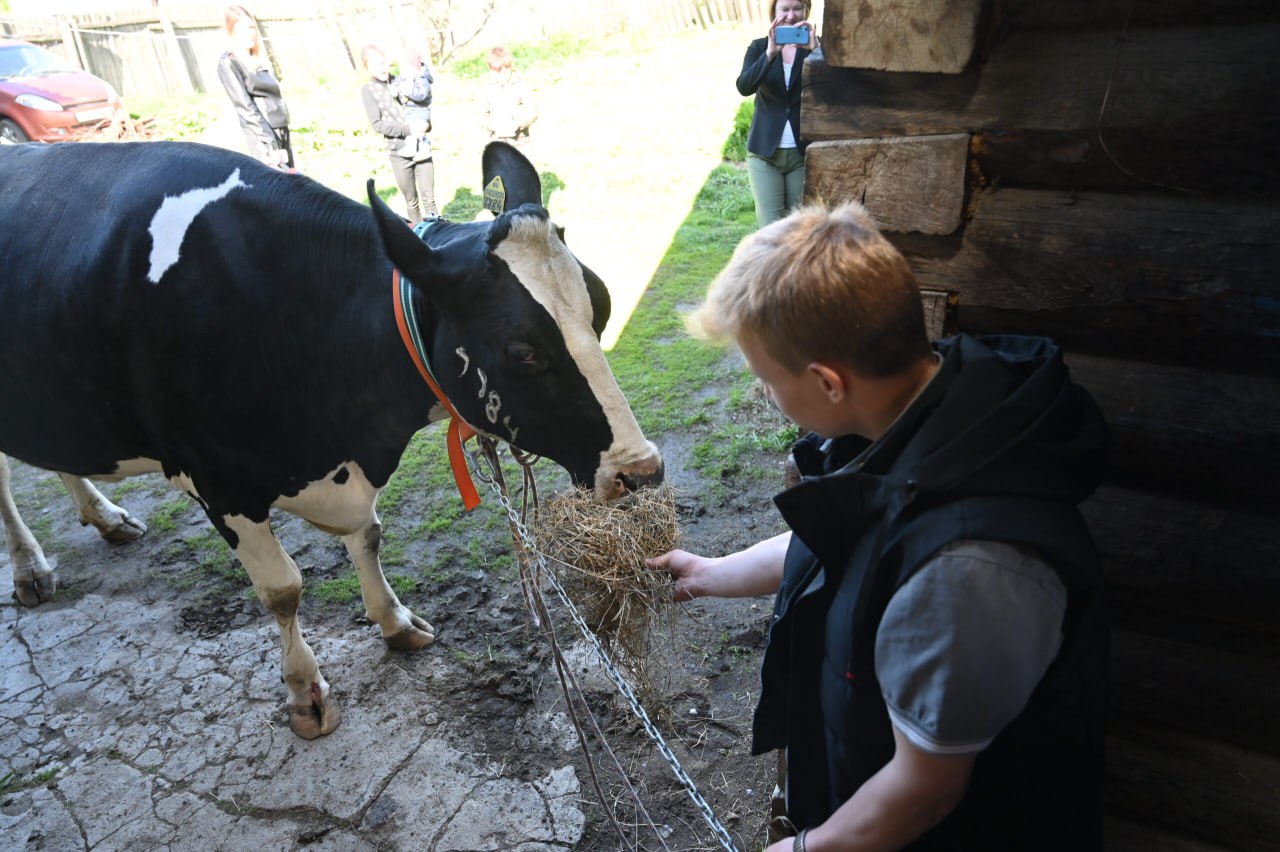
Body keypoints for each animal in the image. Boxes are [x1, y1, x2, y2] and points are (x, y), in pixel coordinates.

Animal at [0, 139, 660, 736]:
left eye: (601, 307)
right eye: (523, 350)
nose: (641, 470)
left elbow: (368, 536)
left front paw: (395, 622)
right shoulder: (222, 483)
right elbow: (283, 590)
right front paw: (304, 692)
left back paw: (105, 516)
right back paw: (30, 570)